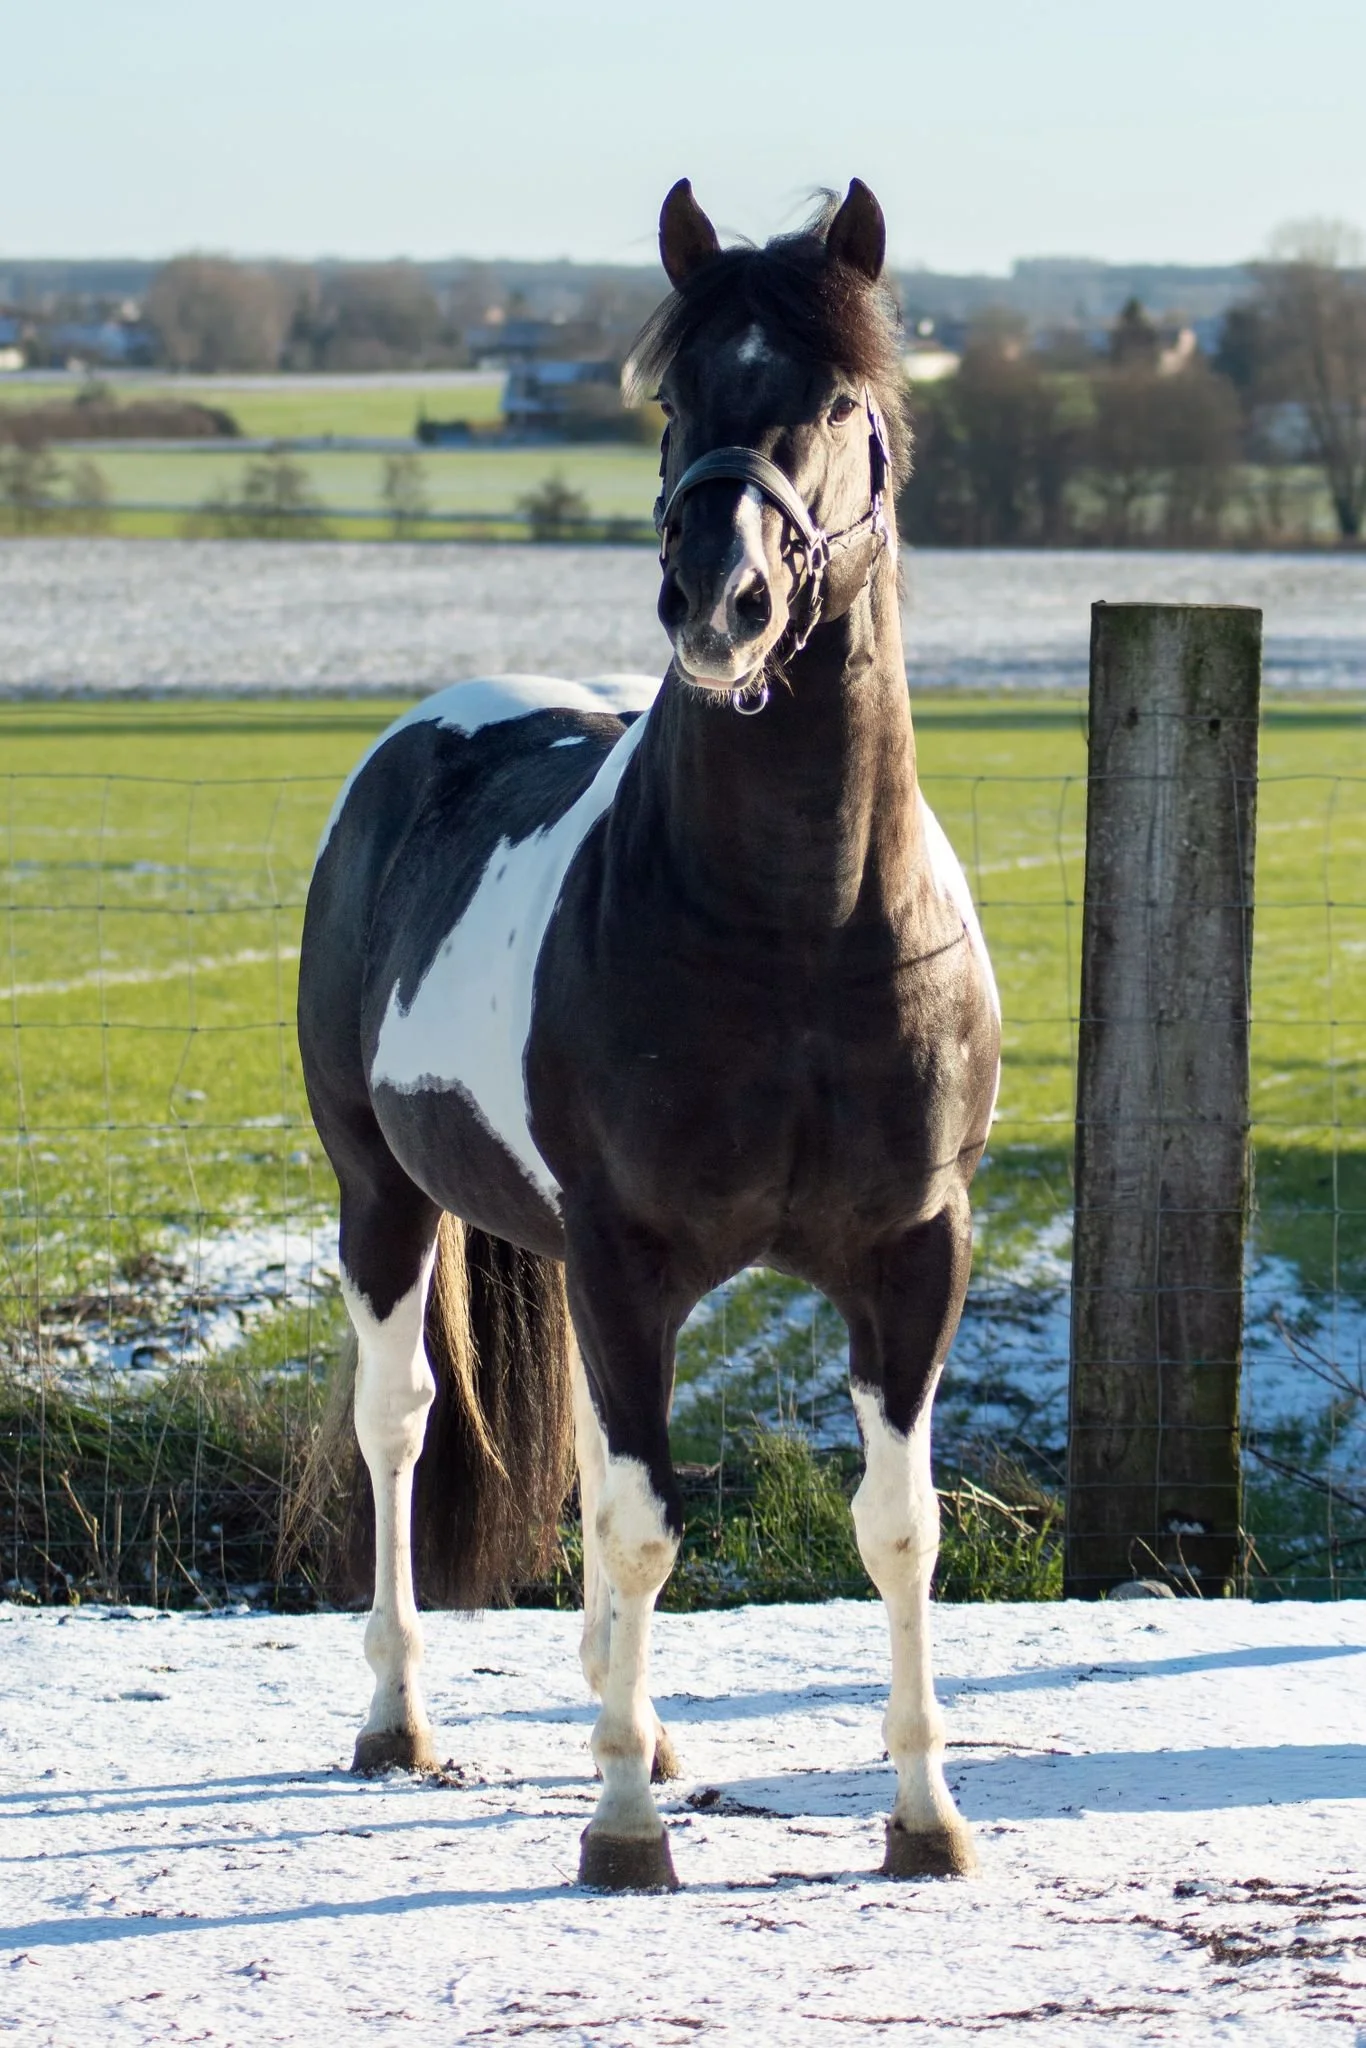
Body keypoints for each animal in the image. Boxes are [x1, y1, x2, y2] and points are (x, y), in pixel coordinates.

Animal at [297, 177, 1001, 1892]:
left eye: (839, 401)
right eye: (674, 397)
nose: (718, 602)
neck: (799, 931)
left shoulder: (912, 1256)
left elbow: (898, 1528)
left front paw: (922, 1818)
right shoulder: (626, 1257)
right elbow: (635, 1521)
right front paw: (621, 1828)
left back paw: (647, 1723)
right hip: (381, 1201)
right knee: (399, 1428)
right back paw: (401, 1719)